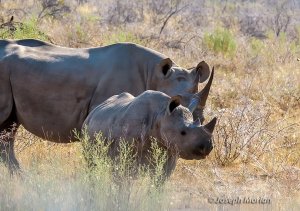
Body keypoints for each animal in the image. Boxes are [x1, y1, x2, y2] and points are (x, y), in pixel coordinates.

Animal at [83, 90, 217, 177]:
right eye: (183, 132)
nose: (208, 147)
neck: (161, 114)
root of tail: (96, 109)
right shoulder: (123, 159)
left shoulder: (169, 155)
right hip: (87, 127)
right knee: (92, 165)